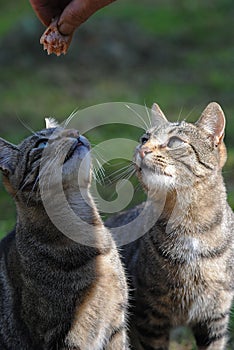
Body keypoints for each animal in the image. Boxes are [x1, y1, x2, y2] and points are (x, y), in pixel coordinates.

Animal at [106, 102, 234, 348]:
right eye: (144, 138)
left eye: (174, 142)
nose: (143, 150)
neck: (190, 226)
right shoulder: (150, 319)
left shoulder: (215, 318)